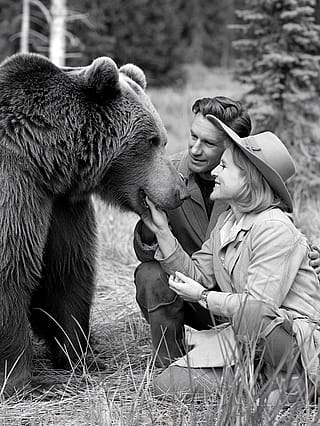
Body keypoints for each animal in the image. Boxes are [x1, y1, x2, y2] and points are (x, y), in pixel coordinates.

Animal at [0, 52, 188, 392]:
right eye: (152, 140)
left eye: (163, 139)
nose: (179, 190)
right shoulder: (17, 186)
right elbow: (13, 266)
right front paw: (23, 380)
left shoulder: (63, 205)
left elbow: (67, 270)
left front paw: (80, 356)